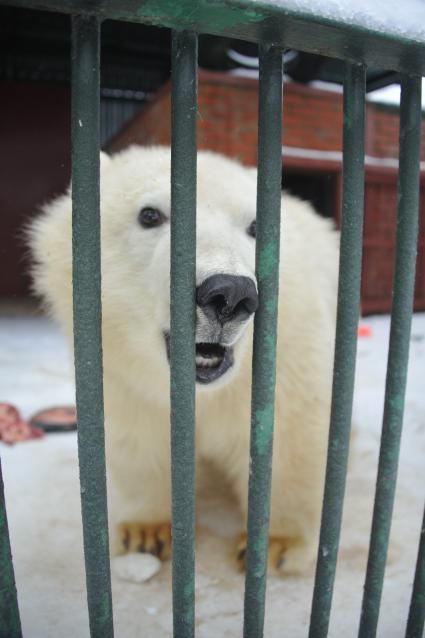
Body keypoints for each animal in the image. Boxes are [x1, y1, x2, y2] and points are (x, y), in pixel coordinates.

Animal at [29, 148, 338, 576]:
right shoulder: (122, 376)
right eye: (149, 215)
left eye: (255, 226)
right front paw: (146, 532)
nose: (229, 294)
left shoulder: (290, 356)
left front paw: (277, 543)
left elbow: (290, 438)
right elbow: (141, 435)